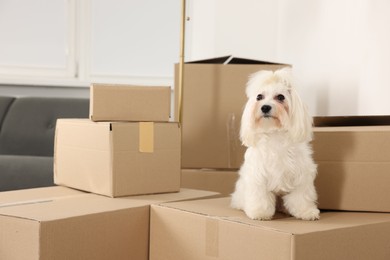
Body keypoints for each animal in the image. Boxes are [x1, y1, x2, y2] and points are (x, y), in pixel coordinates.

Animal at [230, 68, 318, 220]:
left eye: (281, 97)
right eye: (259, 97)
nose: (265, 107)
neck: (274, 133)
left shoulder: (301, 176)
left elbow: (301, 196)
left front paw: (306, 211)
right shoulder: (257, 176)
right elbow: (260, 196)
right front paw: (259, 212)